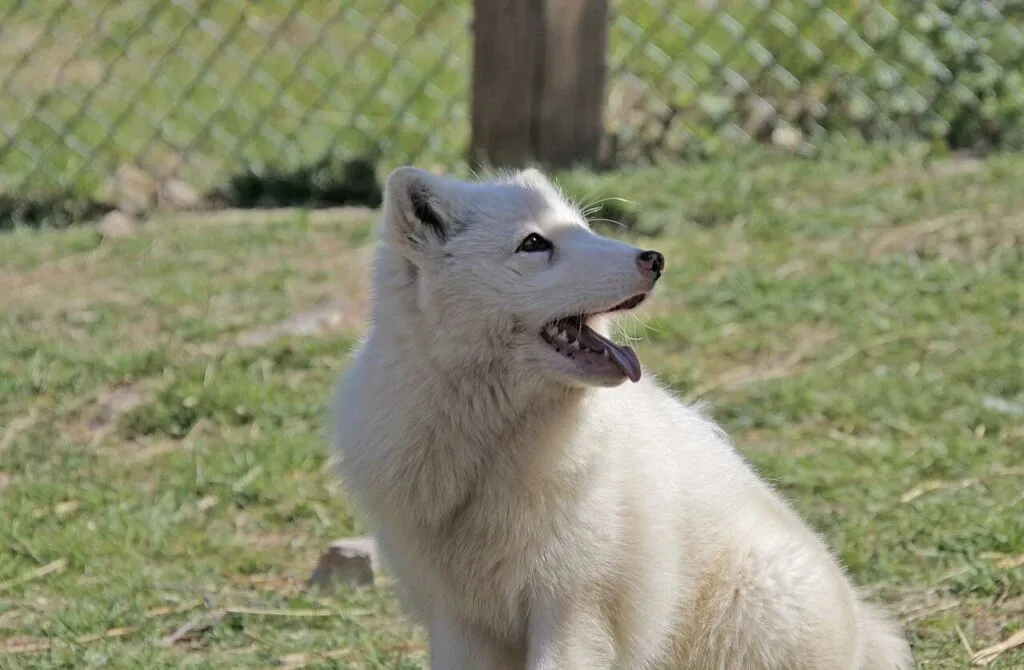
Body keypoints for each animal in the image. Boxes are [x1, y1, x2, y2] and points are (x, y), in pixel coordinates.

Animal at [329, 164, 913, 667]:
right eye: (534, 243)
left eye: (584, 229)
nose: (654, 259)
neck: (491, 449)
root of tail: (866, 631)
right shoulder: (459, 621)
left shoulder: (574, 605)